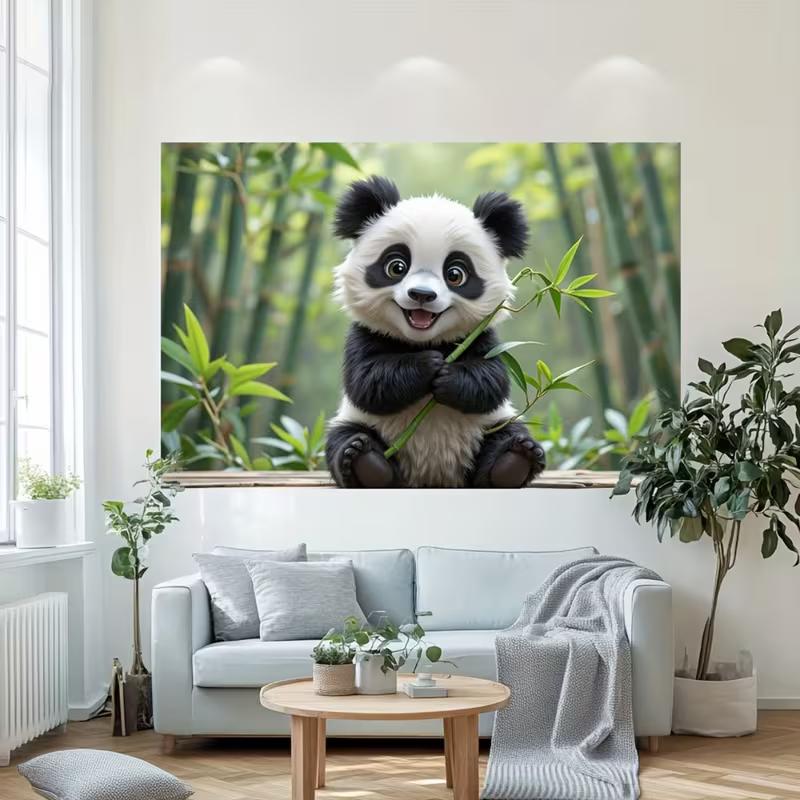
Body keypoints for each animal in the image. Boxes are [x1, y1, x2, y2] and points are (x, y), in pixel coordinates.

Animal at [325, 176, 546, 489]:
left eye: (455, 274)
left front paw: (447, 375)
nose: (421, 295)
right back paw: (366, 463)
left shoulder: (482, 337)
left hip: (490, 425)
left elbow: (493, 381)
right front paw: (429, 364)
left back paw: (513, 461)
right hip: (360, 422)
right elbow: (366, 381)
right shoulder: (364, 334)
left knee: (508, 435)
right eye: (396, 267)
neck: (423, 340)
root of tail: (433, 475)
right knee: (344, 438)